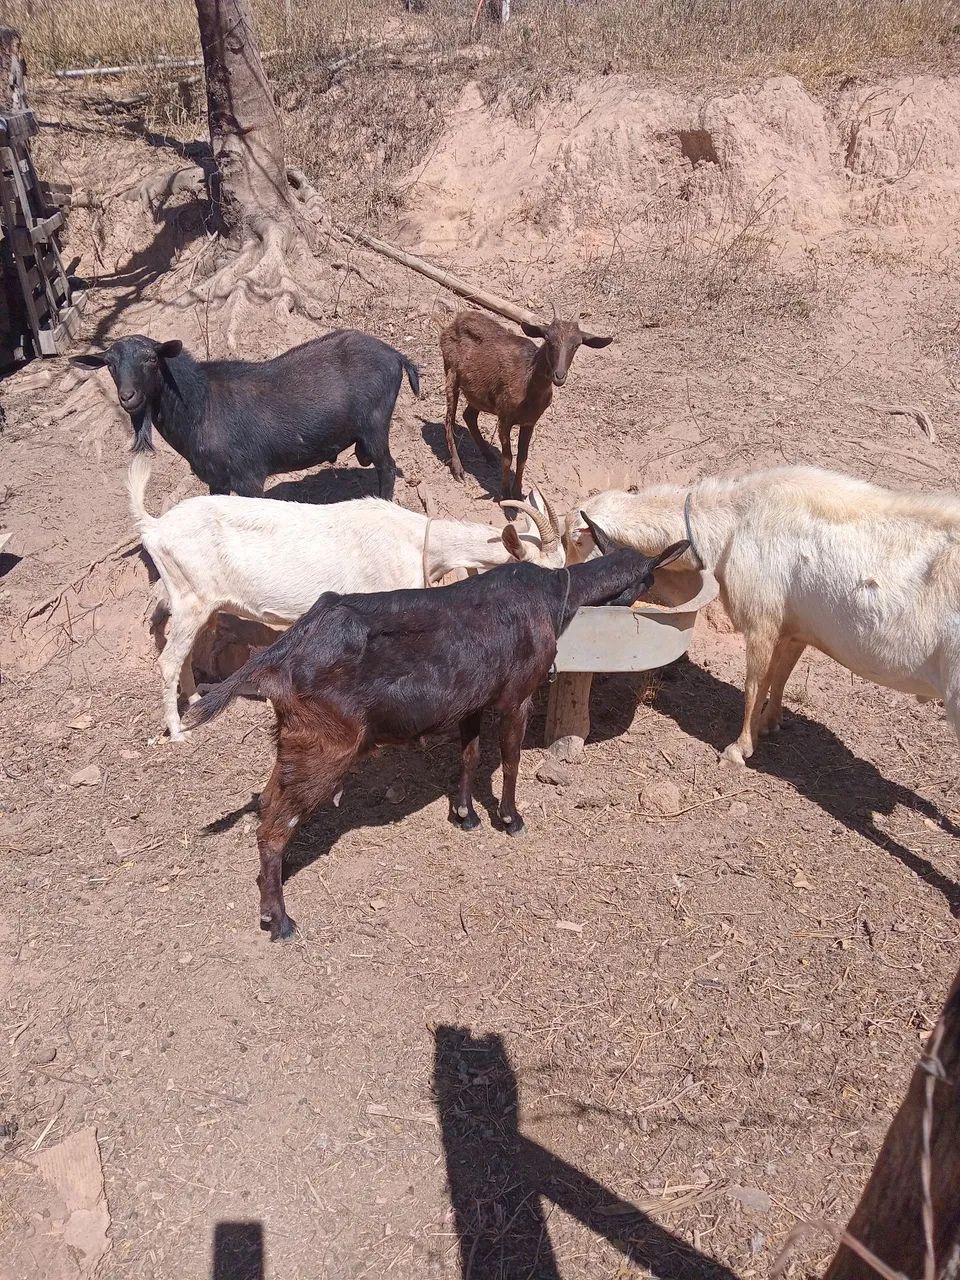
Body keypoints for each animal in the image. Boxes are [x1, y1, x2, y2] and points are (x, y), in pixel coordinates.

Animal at [71, 329, 419, 500]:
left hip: (375, 426)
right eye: (109, 364)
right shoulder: (216, 480)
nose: (128, 397)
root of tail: (397, 356)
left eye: (151, 359)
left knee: (387, 467)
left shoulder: (249, 477)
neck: (200, 404)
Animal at [127, 454, 565, 742]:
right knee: (168, 660)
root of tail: (154, 526)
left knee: (183, 653)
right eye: (542, 574)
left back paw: (194, 698)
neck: (417, 543)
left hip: (199, 603)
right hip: (190, 598)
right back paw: (178, 731)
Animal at [183, 525, 689, 939]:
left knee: (268, 805)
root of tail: (278, 656)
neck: (552, 596)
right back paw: (280, 920)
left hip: (295, 743)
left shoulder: (471, 701)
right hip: (325, 747)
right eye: (649, 579)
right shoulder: (516, 696)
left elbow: (469, 754)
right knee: (273, 826)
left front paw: (465, 815)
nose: (642, 598)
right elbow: (509, 759)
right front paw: (510, 819)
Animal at [439, 310, 612, 499]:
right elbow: (508, 457)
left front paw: (518, 492)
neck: (528, 386)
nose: (559, 376)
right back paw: (458, 470)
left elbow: (522, 457)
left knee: (468, 415)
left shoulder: (530, 422)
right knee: (449, 419)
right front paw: (505, 493)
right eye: (548, 339)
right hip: (450, 371)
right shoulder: (505, 418)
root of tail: (457, 319)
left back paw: (488, 455)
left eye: (577, 344)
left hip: (478, 393)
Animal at [568, 465, 960, 767]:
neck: (733, 521)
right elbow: (780, 674)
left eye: (575, 541)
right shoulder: (794, 627)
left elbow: (754, 683)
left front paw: (738, 749)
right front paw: (771, 723)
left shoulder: (761, 621)